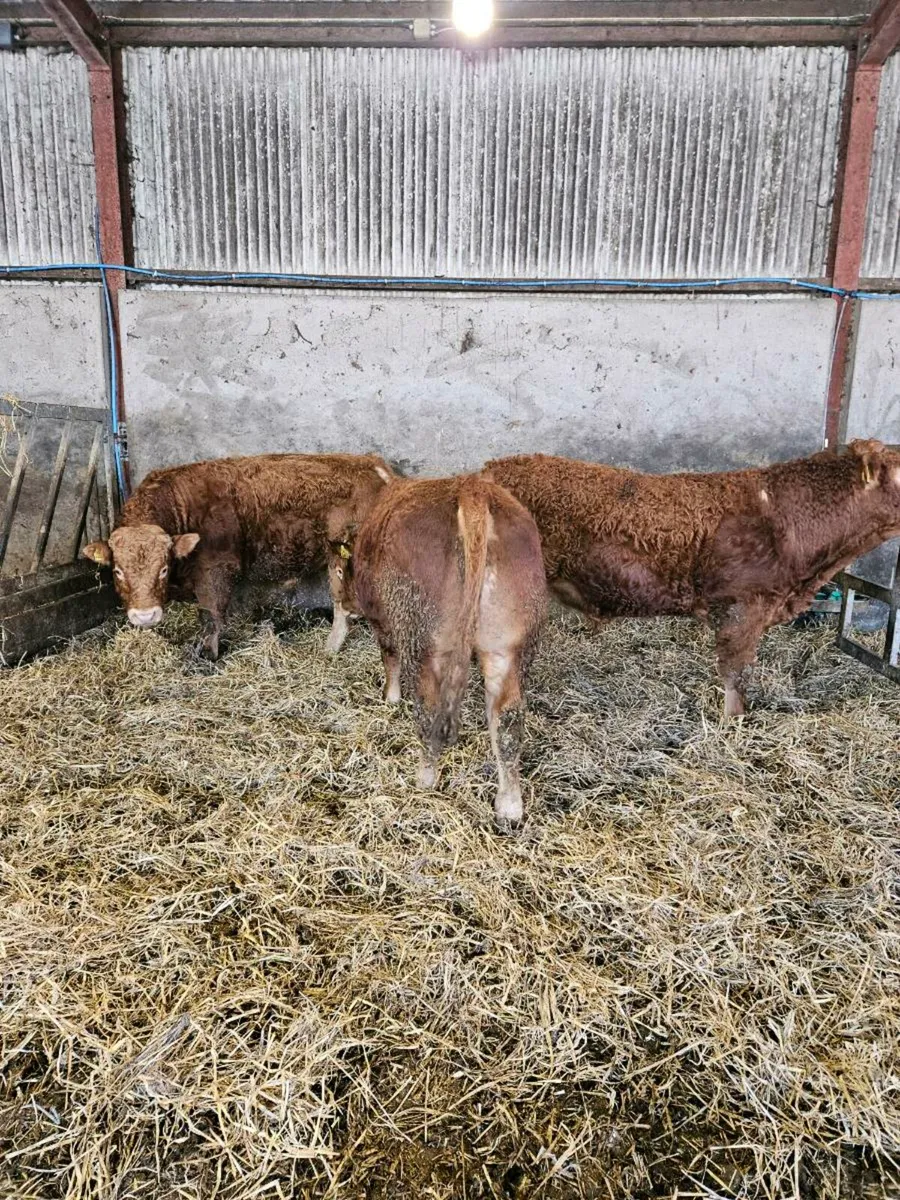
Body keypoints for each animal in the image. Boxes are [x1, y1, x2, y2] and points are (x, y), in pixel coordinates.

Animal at [83, 453, 394, 659]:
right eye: (118, 570)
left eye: (163, 568)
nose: (146, 616)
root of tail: (369, 462)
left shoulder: (216, 570)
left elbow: (210, 615)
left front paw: (206, 656)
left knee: (346, 607)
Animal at [328, 474, 547, 826]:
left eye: (336, 569)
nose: (341, 602)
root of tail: (472, 489)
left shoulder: (384, 618)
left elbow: (389, 656)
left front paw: (390, 698)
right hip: (508, 646)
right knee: (508, 721)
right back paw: (509, 806)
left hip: (426, 641)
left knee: (429, 711)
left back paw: (424, 780)